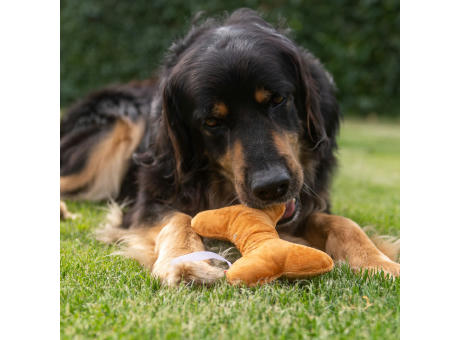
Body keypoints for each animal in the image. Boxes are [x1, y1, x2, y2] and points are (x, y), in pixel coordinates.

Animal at [60, 8, 398, 284]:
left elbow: (341, 222)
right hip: (117, 128)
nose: (272, 187)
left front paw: (377, 261)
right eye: (212, 121)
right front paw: (185, 261)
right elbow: (178, 218)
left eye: (278, 99)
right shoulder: (149, 201)